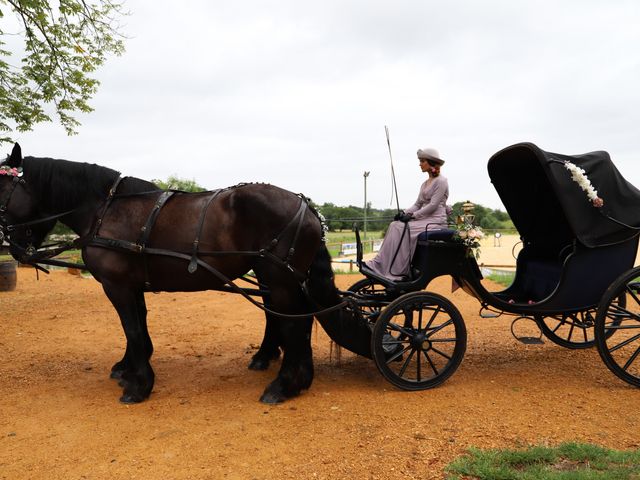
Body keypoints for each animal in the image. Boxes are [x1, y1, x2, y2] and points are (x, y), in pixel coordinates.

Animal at [0, 143, 368, 404]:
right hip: (278, 279)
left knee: (294, 323)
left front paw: (139, 385)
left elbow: (132, 328)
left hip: (280, 280)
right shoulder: (132, 286)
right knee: (289, 320)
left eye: (2, 191)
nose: (15, 247)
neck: (107, 209)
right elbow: (138, 328)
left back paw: (285, 384)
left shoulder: (117, 286)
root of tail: (306, 206)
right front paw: (129, 368)